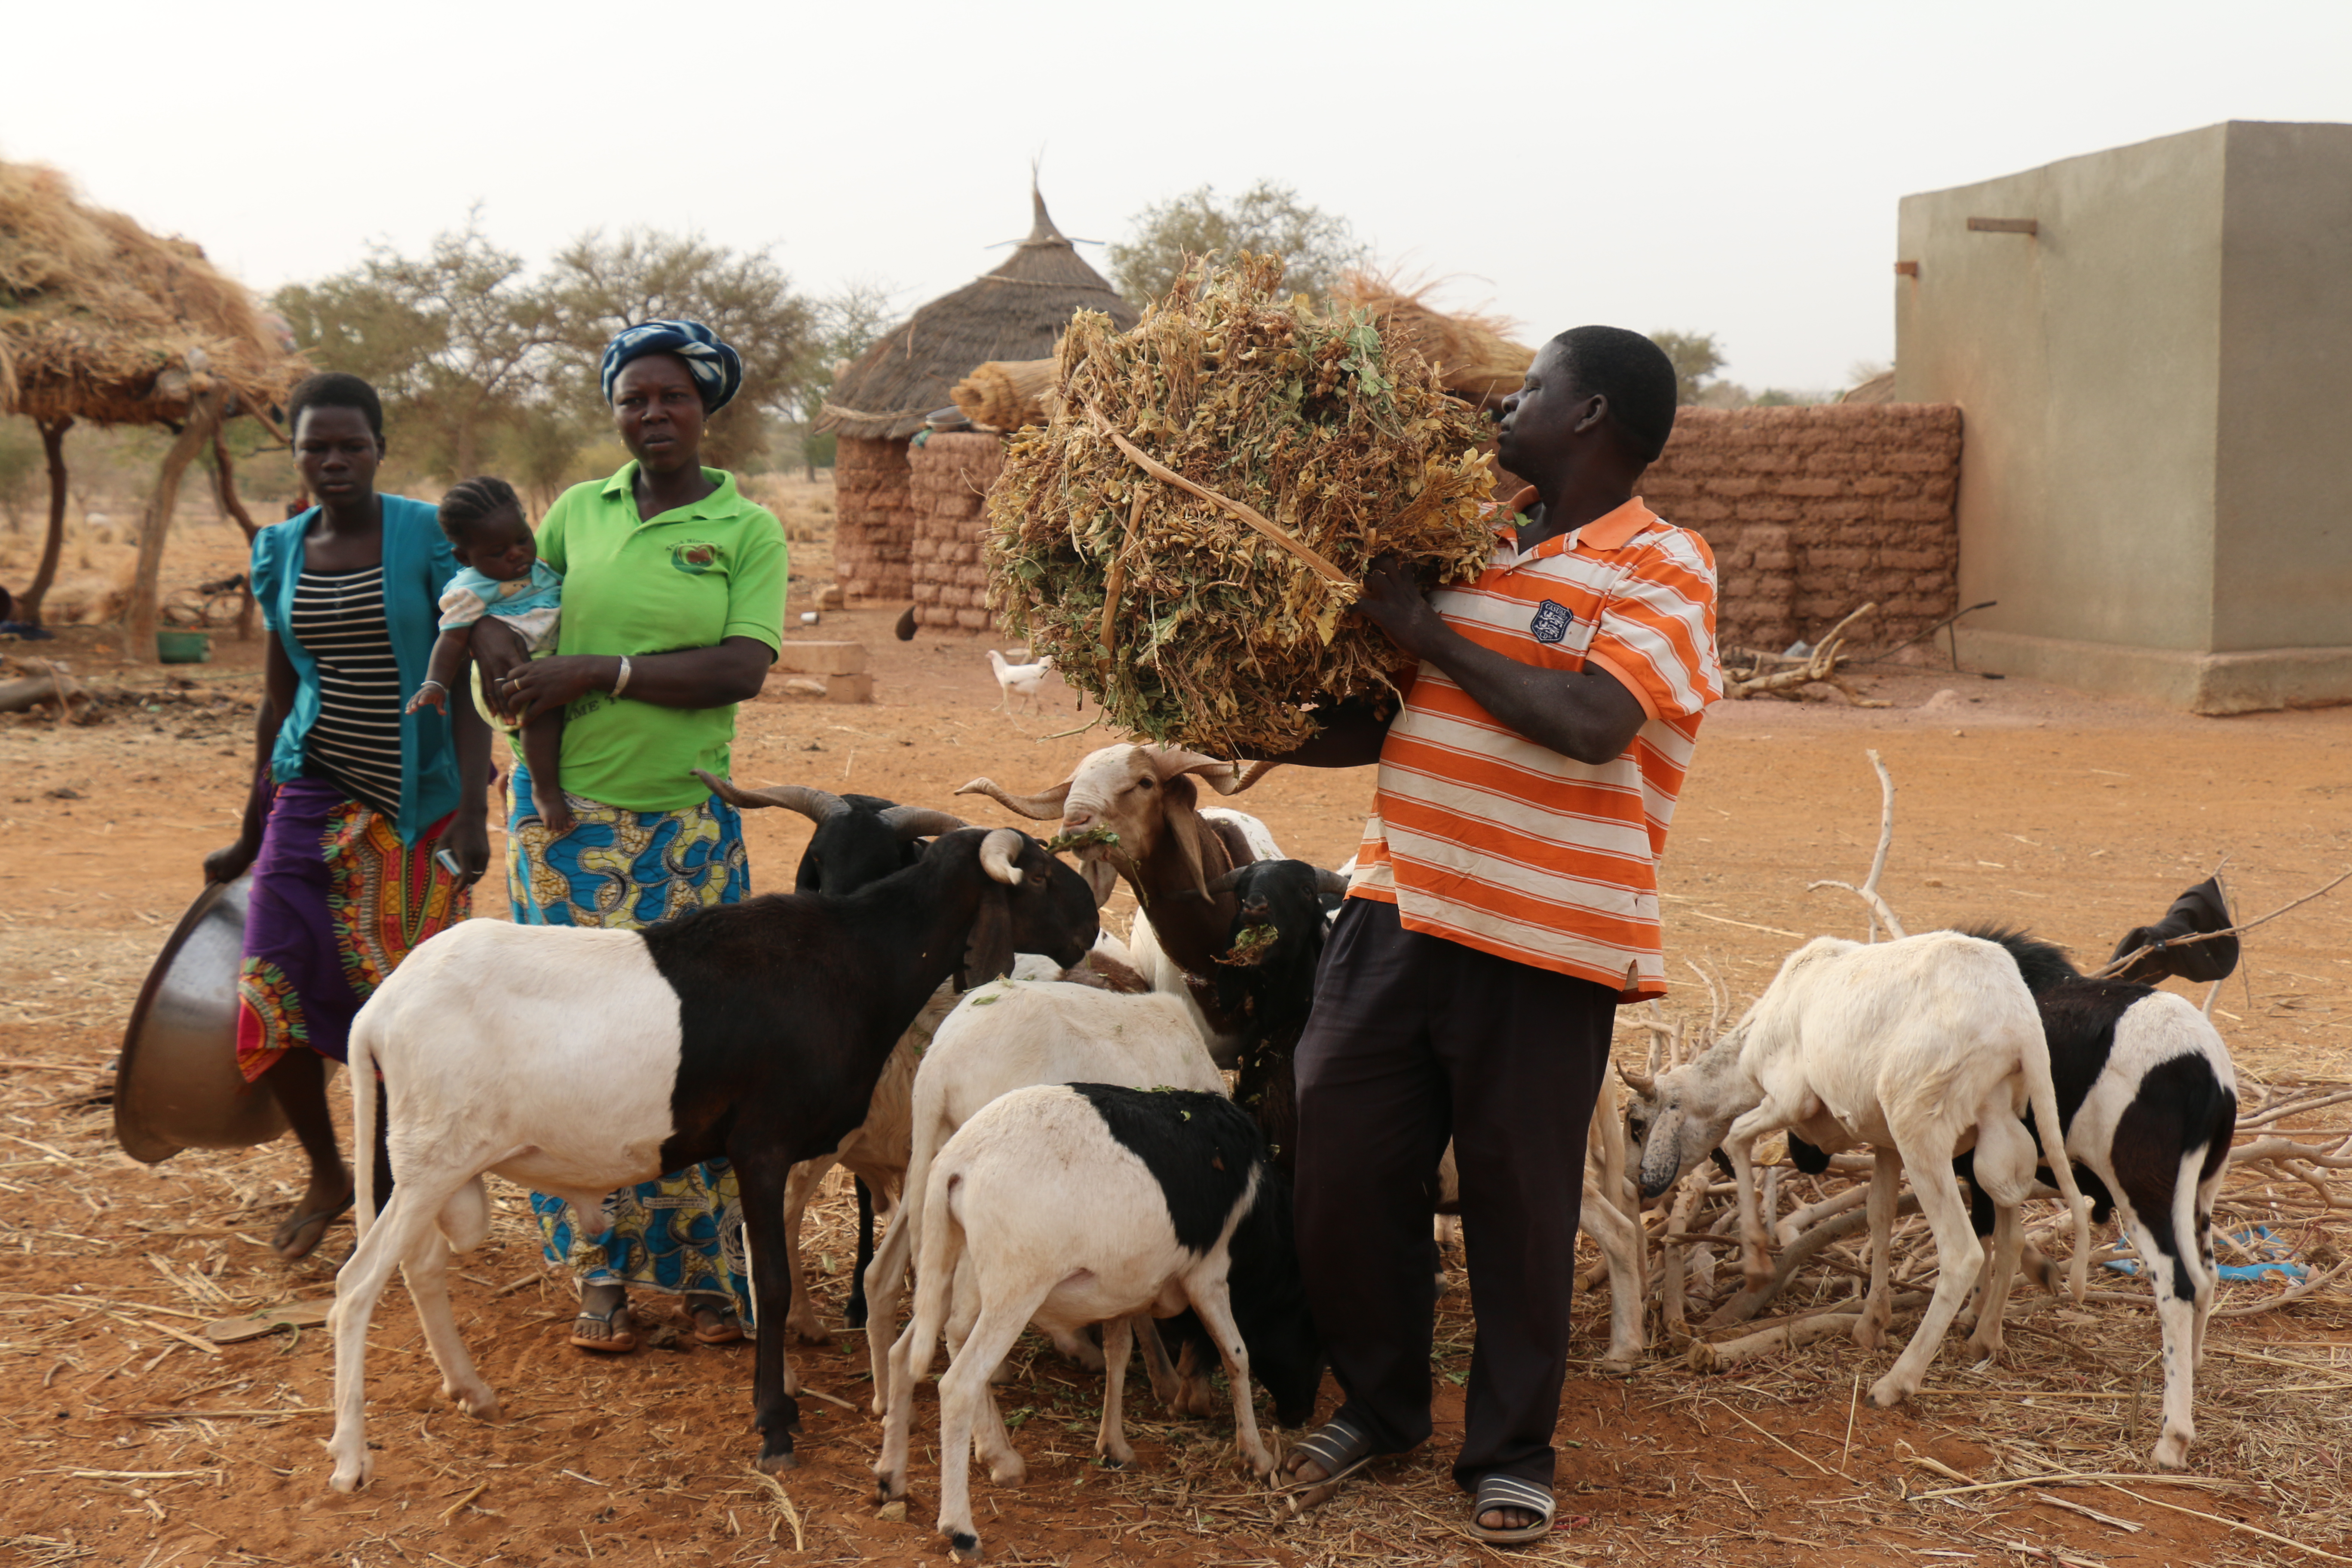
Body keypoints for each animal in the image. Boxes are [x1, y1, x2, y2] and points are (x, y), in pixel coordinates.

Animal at [327, 827, 1096, 1495]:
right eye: (1041, 876)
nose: (1091, 923)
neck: (857, 959)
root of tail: (378, 1010)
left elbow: (758, 1273)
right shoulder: (763, 1146)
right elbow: (775, 1283)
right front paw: (776, 1426)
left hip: (437, 1165)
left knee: (420, 1267)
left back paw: (471, 1390)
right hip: (431, 1161)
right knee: (357, 1285)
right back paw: (351, 1458)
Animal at [879, 1086, 1326, 1561]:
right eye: (1312, 1330)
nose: (1300, 1414)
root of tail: (956, 1161)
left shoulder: (1121, 1287)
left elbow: (1119, 1353)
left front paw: (1114, 1446)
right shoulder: (1207, 1275)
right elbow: (1236, 1353)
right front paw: (1257, 1456)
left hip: (949, 1263)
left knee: (907, 1352)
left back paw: (893, 1478)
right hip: (1014, 1286)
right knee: (958, 1384)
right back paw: (960, 1529)